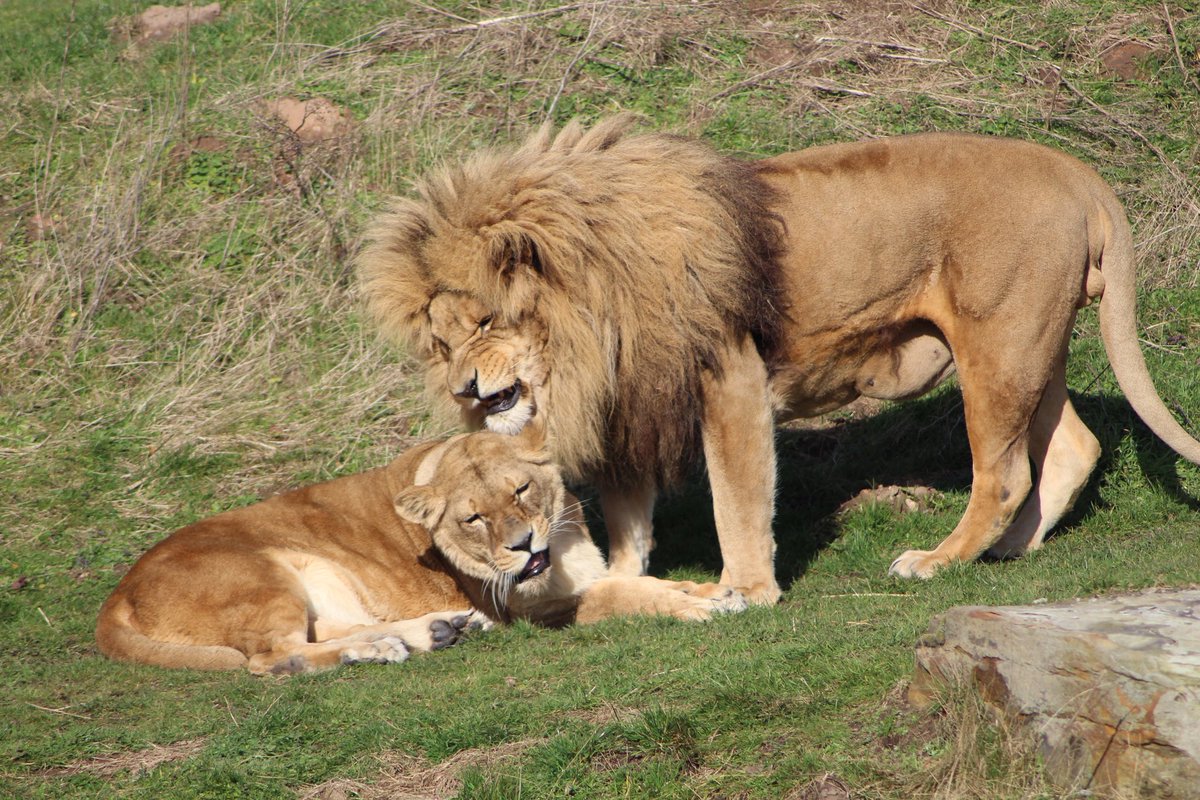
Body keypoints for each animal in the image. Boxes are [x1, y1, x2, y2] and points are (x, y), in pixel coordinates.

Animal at [95, 430, 747, 674]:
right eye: (473, 518)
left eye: (520, 490)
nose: (522, 544)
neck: (561, 546)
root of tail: (115, 594)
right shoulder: (530, 612)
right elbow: (623, 596)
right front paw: (701, 605)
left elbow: (634, 582)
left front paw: (715, 589)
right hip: (262, 574)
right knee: (273, 656)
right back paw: (383, 647)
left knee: (319, 632)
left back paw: (427, 633)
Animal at [357, 116, 1200, 598]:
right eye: (441, 343)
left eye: (486, 320)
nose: (467, 389)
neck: (591, 329)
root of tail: (1079, 173)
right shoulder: (633, 401)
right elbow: (628, 517)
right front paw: (621, 585)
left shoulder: (727, 378)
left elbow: (736, 499)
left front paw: (744, 591)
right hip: (1031, 346)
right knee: (1074, 446)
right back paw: (1010, 551)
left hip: (997, 343)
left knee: (1004, 473)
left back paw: (938, 560)